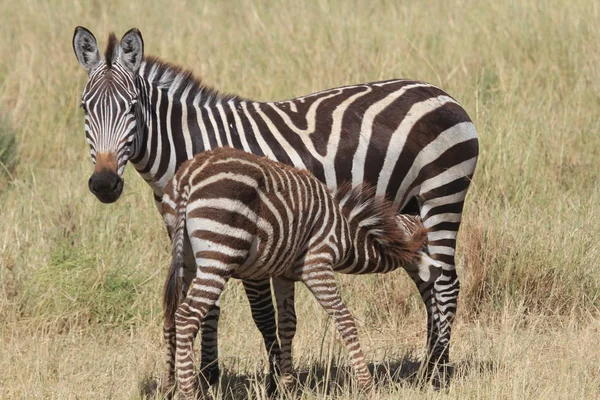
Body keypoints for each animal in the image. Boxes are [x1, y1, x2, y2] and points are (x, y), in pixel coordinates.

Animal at [162, 147, 428, 396]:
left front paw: (287, 385)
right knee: (187, 316)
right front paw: (366, 385)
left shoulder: (283, 274)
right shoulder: (317, 264)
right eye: (427, 244)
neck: (347, 234)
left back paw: (170, 386)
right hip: (220, 252)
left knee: (172, 314)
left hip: (185, 256)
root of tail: (189, 175)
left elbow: (287, 324)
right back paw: (188, 392)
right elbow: (345, 319)